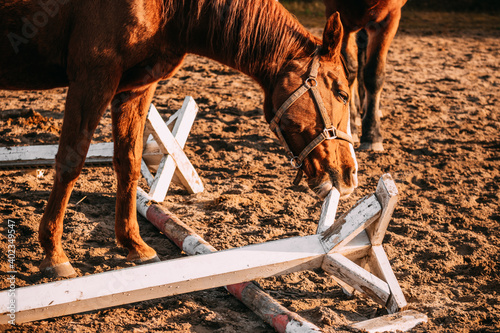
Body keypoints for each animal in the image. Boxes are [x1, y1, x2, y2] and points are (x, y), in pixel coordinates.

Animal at [1, 0, 358, 276]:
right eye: (342, 93)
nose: (349, 175)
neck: (169, 9)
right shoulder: (92, 79)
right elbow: (70, 162)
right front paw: (53, 253)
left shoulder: (135, 88)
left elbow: (128, 162)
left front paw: (134, 244)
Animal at [324, 0, 406, 149]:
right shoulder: (340, 17)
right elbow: (349, 71)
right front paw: (351, 126)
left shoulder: (389, 17)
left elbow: (374, 74)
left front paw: (372, 134)